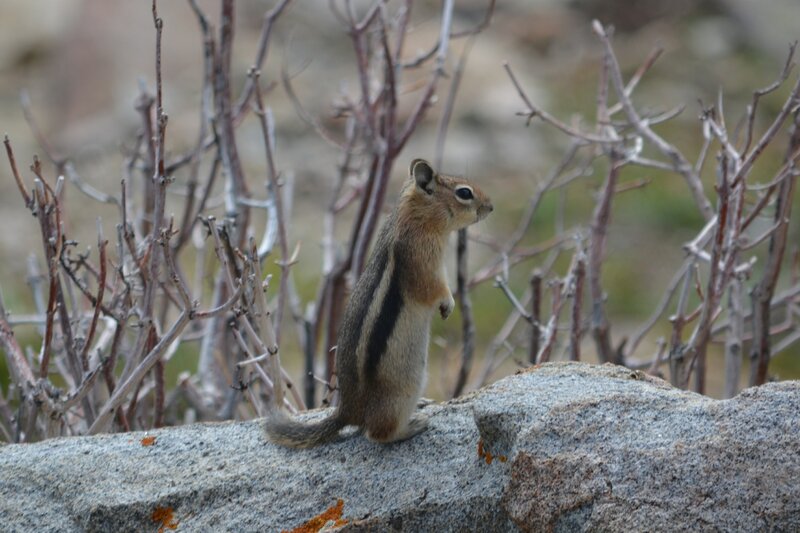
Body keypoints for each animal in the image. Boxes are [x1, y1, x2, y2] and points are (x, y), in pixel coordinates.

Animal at [264, 158, 493, 448]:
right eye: (464, 193)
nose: (490, 207)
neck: (415, 215)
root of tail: (347, 411)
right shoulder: (421, 259)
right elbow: (433, 289)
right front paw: (448, 303)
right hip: (401, 392)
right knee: (376, 433)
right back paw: (411, 426)